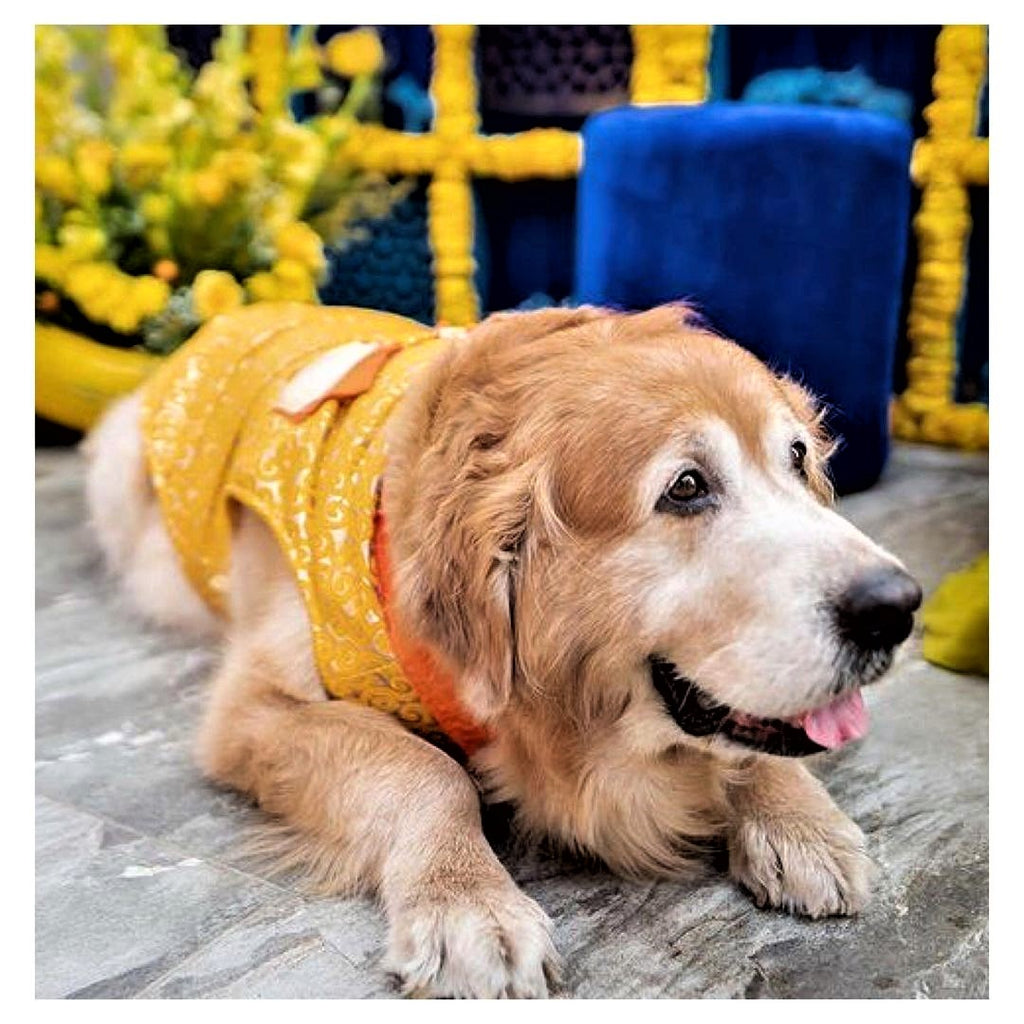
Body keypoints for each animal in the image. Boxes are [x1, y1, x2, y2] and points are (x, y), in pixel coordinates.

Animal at [86, 305, 921, 999]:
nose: (897, 607)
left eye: (798, 460)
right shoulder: (255, 707)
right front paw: (467, 903)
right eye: (685, 487)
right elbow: (426, 770)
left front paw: (800, 820)